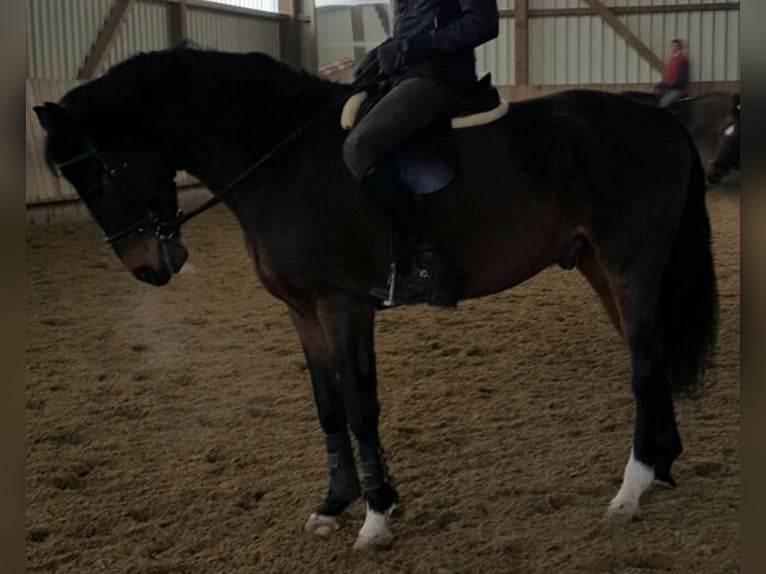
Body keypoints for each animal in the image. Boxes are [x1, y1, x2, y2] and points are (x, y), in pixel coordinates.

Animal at [34, 46, 720, 552]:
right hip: (601, 269)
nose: (150, 269)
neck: (280, 160)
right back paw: (661, 469)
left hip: (629, 266)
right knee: (654, 361)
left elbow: (362, 407)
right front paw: (333, 505)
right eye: (77, 179)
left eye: (98, 173)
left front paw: (376, 519)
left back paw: (629, 492)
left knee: (644, 366)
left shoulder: (344, 305)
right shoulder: (302, 310)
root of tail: (661, 119)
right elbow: (328, 408)